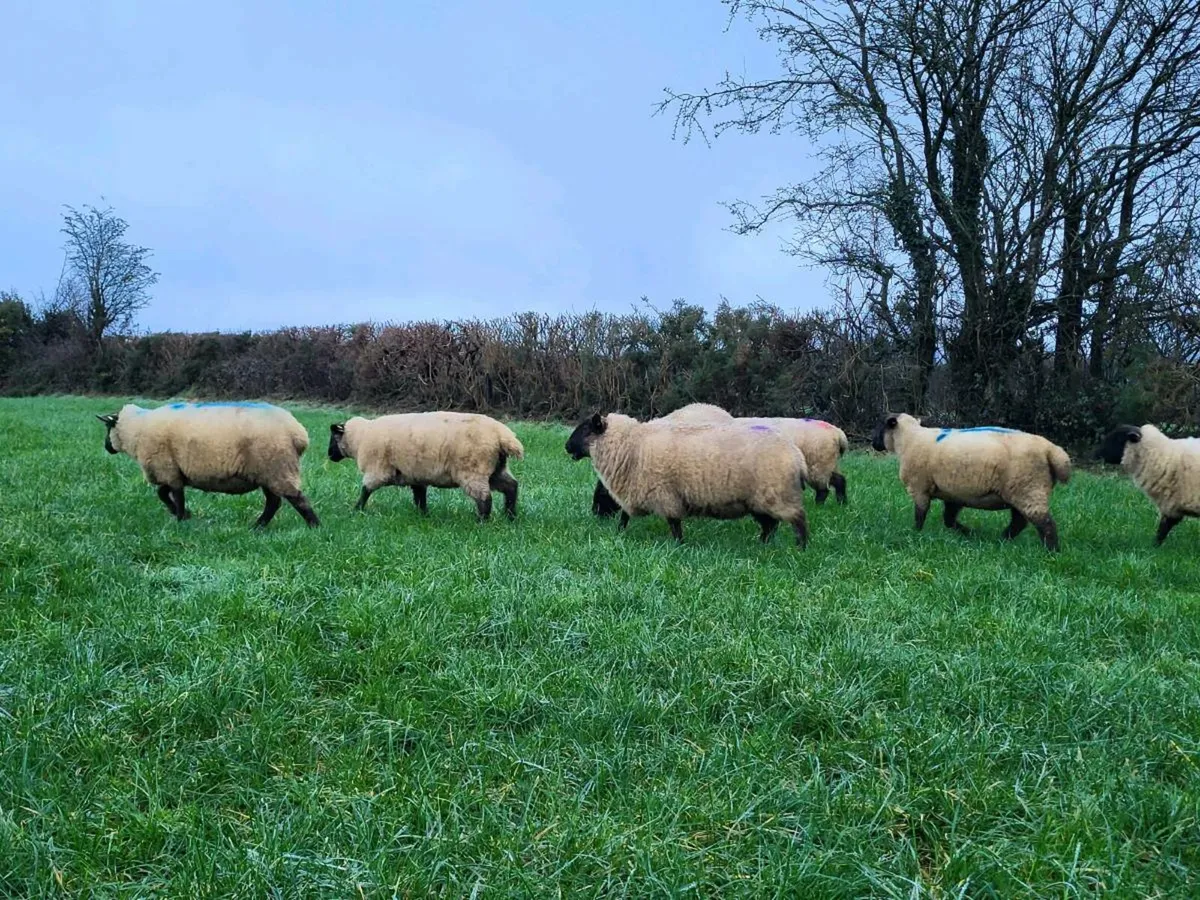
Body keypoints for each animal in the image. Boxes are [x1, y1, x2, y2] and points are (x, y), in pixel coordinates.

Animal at [96, 401, 320, 527]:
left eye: (108, 427)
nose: (106, 447)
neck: (137, 429)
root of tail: (298, 433)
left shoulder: (168, 469)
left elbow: (175, 495)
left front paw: (180, 518)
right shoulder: (174, 471)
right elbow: (163, 493)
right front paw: (183, 514)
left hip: (277, 467)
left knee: (296, 498)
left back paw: (314, 526)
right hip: (268, 472)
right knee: (274, 501)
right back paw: (259, 526)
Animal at [328, 411, 523, 521]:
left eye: (333, 438)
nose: (329, 455)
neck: (360, 438)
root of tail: (503, 435)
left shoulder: (377, 470)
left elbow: (365, 490)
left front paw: (357, 509)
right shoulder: (415, 474)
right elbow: (420, 497)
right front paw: (423, 515)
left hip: (474, 470)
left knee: (484, 498)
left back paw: (482, 522)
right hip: (495, 469)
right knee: (511, 487)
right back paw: (510, 516)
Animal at [871, 412, 1071, 551]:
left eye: (880, 427)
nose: (873, 444)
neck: (909, 439)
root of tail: (1052, 451)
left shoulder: (919, 487)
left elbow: (920, 514)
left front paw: (916, 533)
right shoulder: (952, 494)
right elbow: (949, 519)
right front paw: (968, 533)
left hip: (1029, 488)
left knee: (1045, 524)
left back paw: (1052, 551)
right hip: (1021, 490)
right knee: (1019, 522)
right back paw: (1002, 539)